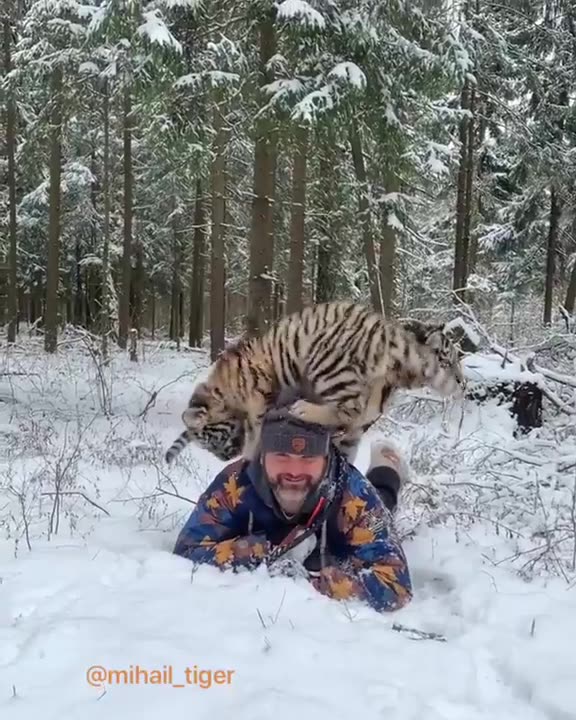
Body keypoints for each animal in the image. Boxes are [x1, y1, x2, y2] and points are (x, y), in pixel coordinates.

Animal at [164, 301, 465, 465]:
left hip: (325, 361)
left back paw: (304, 409)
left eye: (210, 440)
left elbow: (256, 431)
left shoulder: (260, 395)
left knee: (348, 407)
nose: (225, 459)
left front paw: (248, 458)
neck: (224, 389)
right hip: (366, 407)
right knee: (351, 425)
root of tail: (389, 333)